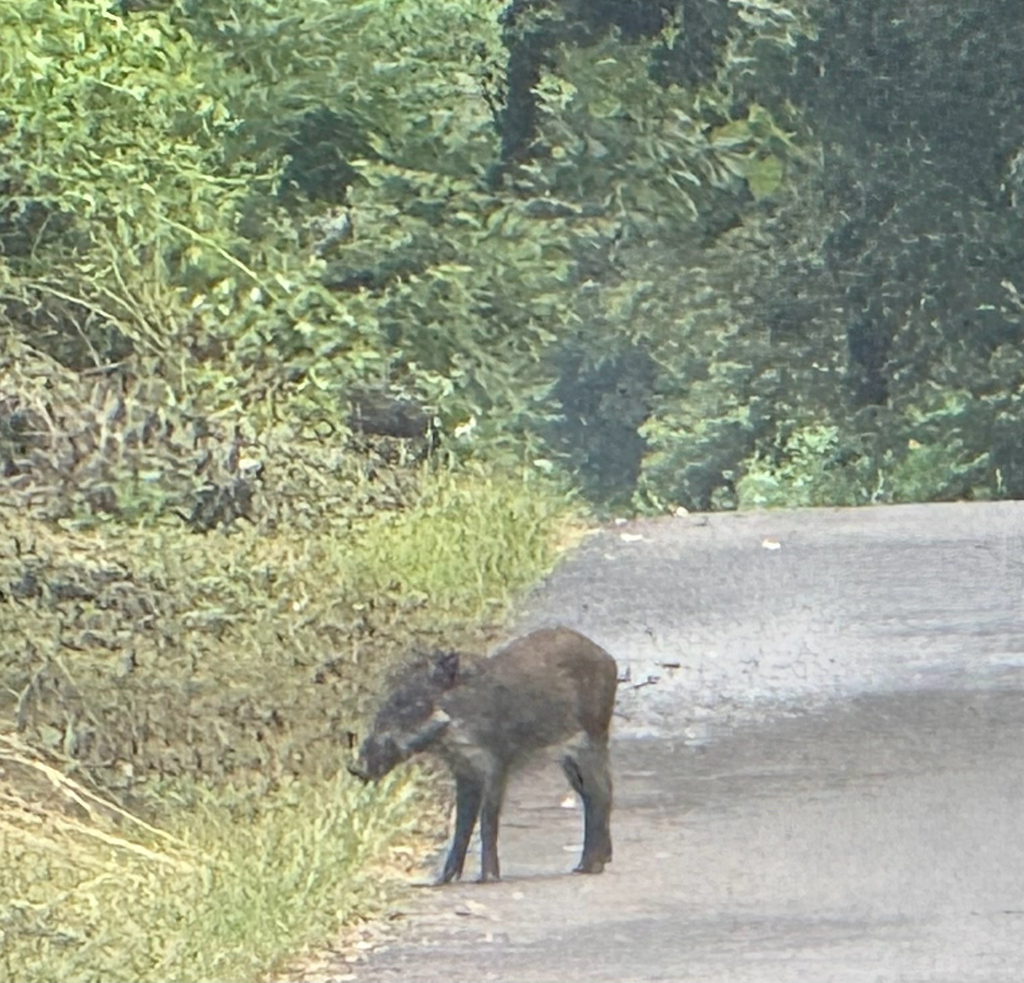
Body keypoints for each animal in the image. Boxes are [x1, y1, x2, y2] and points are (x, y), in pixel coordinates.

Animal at [348, 626, 617, 883]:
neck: (453, 735)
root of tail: (608, 658)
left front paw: (488, 878)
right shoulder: (464, 770)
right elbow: (463, 821)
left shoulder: (497, 760)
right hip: (567, 756)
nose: (356, 768)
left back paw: (588, 867)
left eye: (411, 705)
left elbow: (488, 818)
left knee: (601, 791)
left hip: (592, 736)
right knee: (589, 792)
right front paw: (443, 879)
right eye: (387, 704)